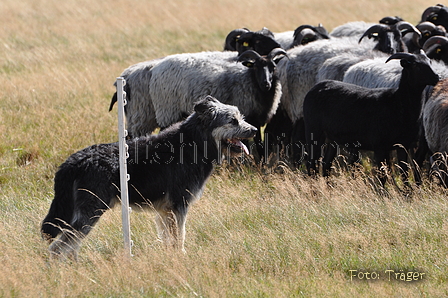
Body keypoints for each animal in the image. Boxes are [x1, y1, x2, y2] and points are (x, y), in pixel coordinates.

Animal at [40, 96, 258, 258]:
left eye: (240, 117)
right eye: (232, 120)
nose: (255, 130)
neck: (194, 143)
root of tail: (73, 162)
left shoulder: (164, 211)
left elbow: (168, 239)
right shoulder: (178, 205)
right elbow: (180, 236)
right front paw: (181, 257)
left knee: (69, 245)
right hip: (91, 211)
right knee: (58, 248)